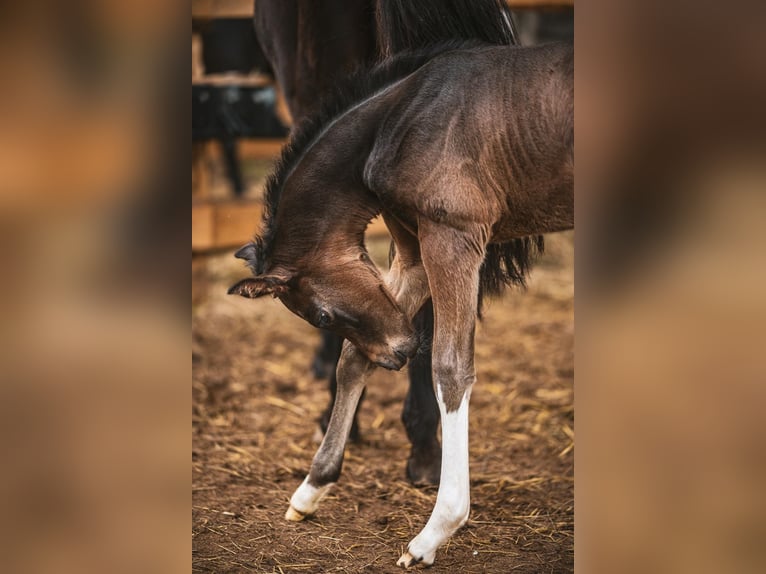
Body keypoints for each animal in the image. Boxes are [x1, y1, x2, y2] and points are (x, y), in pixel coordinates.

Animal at [229, 36, 573, 567]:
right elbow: (352, 359)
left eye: (321, 315)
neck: (396, 122)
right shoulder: (413, 251)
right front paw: (311, 488)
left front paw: (436, 530)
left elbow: (450, 369)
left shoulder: (453, 236)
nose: (400, 354)